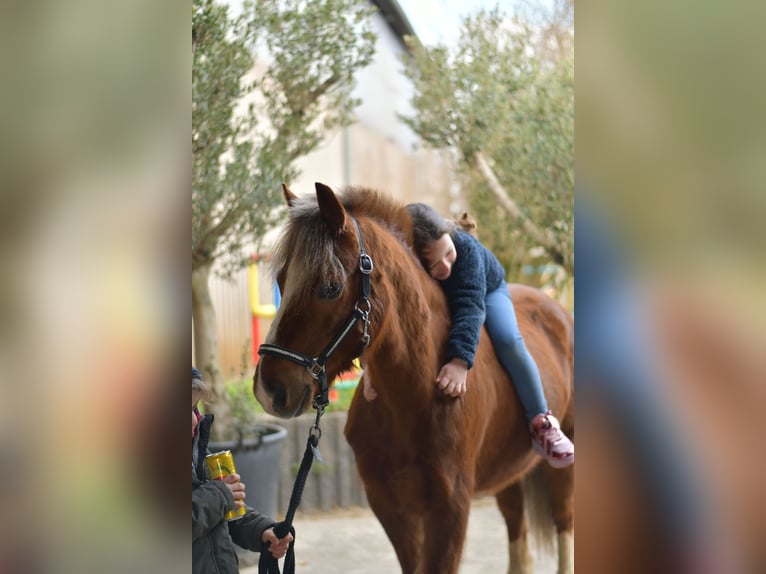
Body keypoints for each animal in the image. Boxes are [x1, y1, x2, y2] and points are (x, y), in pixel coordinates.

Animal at [254, 182, 575, 574]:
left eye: (330, 287)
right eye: (281, 281)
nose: (268, 389)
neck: (413, 398)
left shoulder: (451, 511)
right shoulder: (392, 509)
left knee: (563, 524)